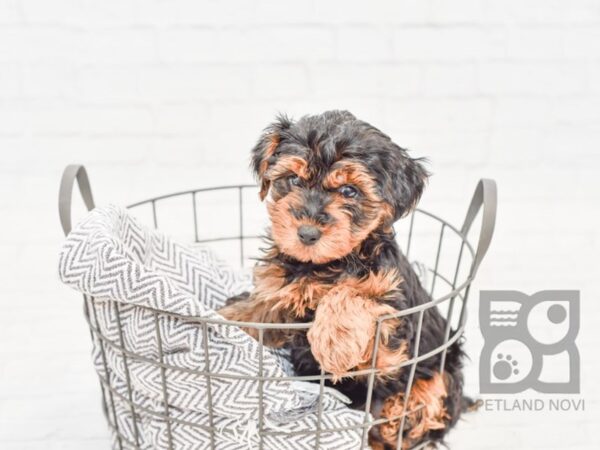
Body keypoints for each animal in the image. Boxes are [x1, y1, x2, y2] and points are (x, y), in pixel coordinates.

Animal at [219, 110, 468, 448]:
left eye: (349, 191)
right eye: (293, 179)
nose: (307, 233)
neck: (324, 265)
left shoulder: (391, 338)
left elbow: (357, 293)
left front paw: (335, 343)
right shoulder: (283, 294)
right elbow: (259, 308)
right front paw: (221, 316)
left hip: (442, 367)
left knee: (432, 403)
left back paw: (397, 418)